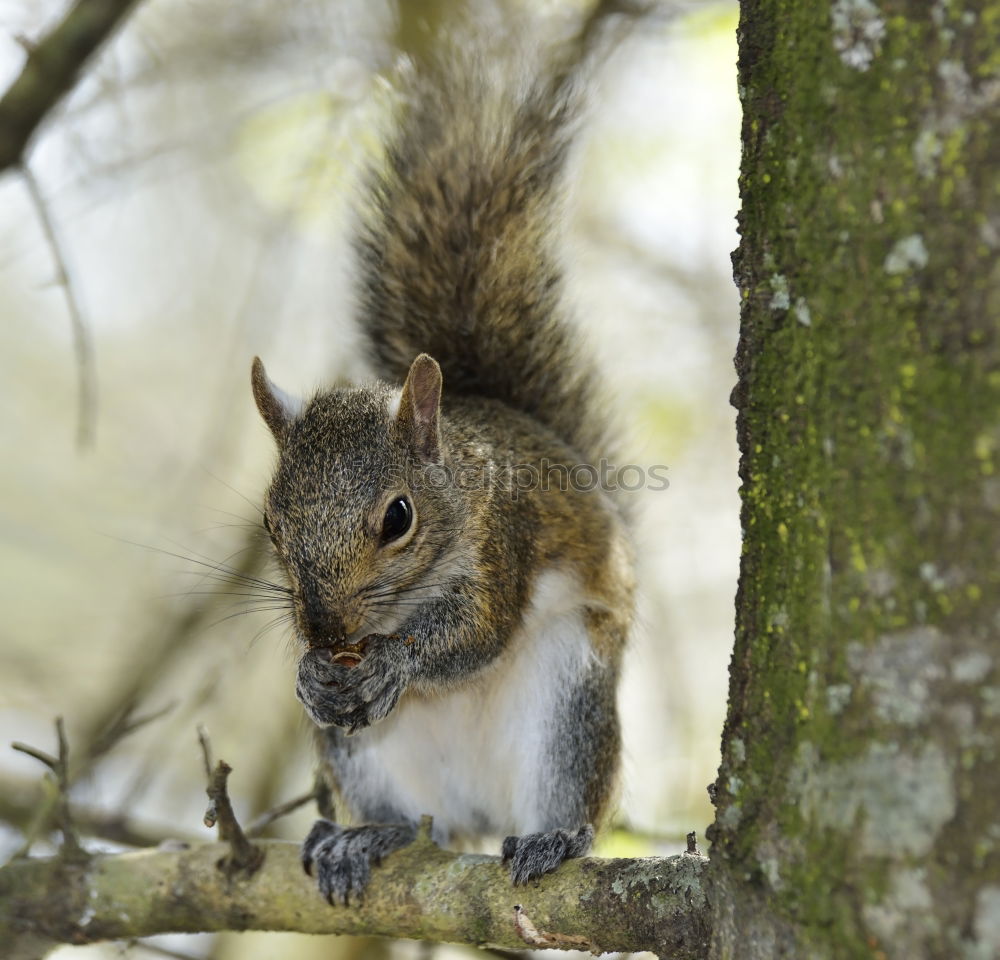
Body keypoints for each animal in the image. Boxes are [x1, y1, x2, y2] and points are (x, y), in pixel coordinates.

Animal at [254, 22, 636, 908]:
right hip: (363, 755)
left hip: (567, 698)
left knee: (566, 792)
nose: (327, 635)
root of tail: (475, 814)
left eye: (399, 517)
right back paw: (362, 838)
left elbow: (481, 631)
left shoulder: (507, 539)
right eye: (271, 525)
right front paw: (308, 675)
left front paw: (399, 660)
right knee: (408, 821)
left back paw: (555, 838)